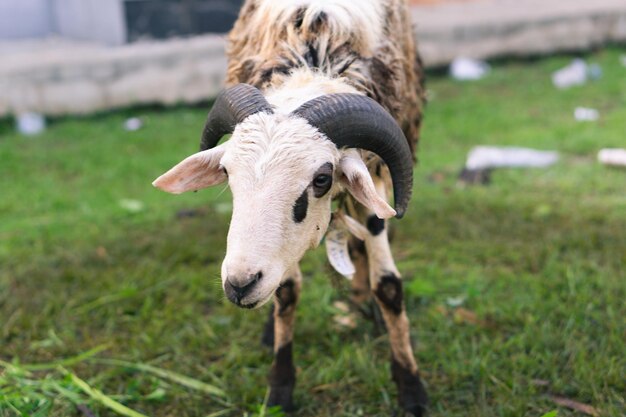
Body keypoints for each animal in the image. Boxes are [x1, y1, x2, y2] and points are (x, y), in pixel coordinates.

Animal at [152, 0, 424, 412]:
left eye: (323, 178)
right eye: (227, 172)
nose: (239, 284)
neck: (317, 53)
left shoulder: (376, 173)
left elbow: (389, 286)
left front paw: (411, 386)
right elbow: (286, 291)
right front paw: (280, 386)